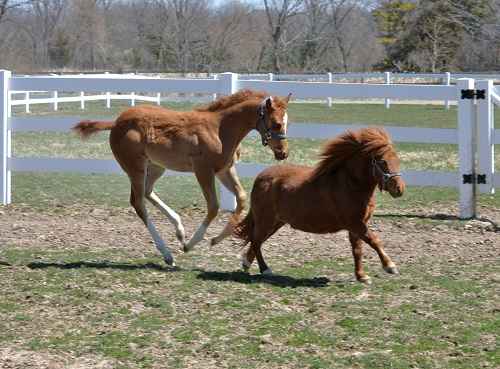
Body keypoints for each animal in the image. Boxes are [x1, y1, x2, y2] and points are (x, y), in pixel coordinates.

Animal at [74, 90, 292, 266]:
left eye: (287, 123)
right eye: (276, 124)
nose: (283, 153)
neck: (220, 128)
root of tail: (116, 123)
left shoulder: (224, 170)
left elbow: (242, 198)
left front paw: (215, 240)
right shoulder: (203, 170)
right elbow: (213, 206)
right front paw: (191, 245)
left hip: (156, 166)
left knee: (147, 192)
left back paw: (179, 230)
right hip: (135, 167)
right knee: (138, 203)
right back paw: (168, 253)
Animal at [235, 125, 406, 284]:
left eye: (397, 160)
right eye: (383, 161)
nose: (399, 189)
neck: (350, 185)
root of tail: (261, 177)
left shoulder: (357, 226)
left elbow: (357, 249)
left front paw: (362, 276)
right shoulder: (355, 224)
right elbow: (374, 240)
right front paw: (390, 266)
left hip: (276, 222)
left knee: (257, 240)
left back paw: (246, 263)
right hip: (266, 220)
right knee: (256, 240)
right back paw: (265, 269)